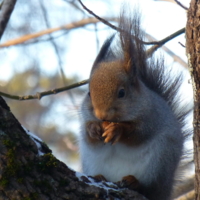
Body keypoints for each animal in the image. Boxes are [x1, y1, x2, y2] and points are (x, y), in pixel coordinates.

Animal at [78, 8, 192, 200]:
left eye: (122, 93)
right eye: (89, 93)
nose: (101, 115)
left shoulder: (152, 118)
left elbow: (138, 133)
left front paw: (117, 130)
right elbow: (89, 138)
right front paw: (93, 128)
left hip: (158, 165)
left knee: (148, 188)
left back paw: (134, 182)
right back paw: (99, 177)